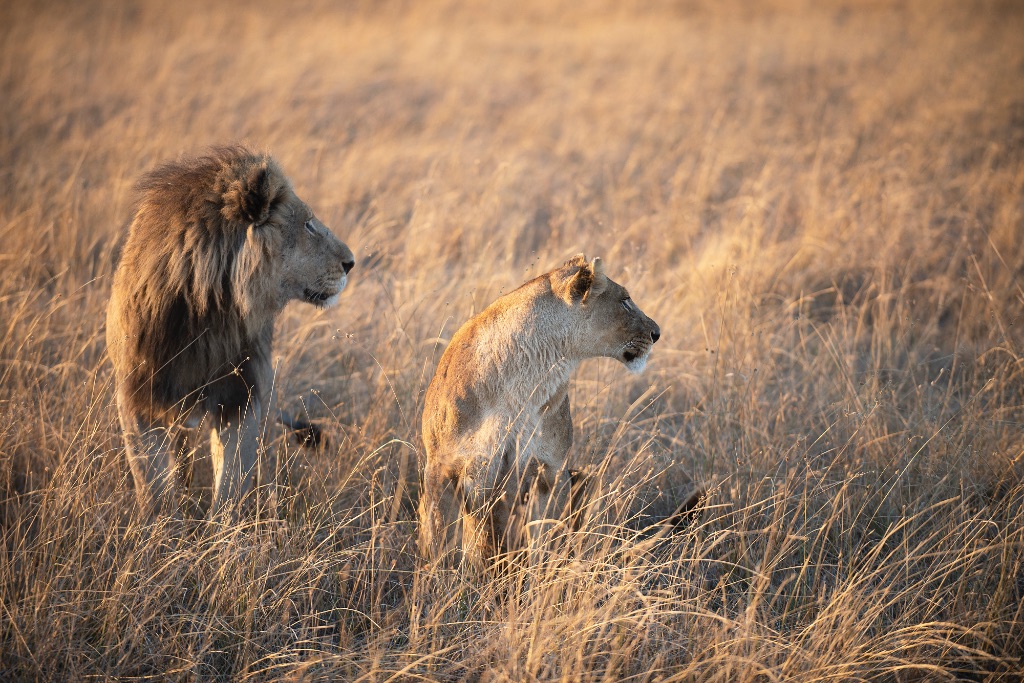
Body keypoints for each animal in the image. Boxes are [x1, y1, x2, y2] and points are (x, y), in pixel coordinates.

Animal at [108, 145, 356, 518]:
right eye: (308, 225)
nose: (351, 263)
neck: (207, 312)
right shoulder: (139, 396)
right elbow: (152, 485)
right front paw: (163, 527)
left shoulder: (242, 394)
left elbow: (229, 482)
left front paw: (221, 530)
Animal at [419, 253, 659, 565]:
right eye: (625, 300)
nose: (657, 333)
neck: (525, 381)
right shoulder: (441, 467)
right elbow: (437, 542)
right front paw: (434, 578)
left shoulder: (549, 473)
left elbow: (544, 544)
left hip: (586, 476)